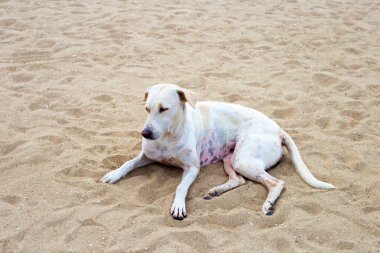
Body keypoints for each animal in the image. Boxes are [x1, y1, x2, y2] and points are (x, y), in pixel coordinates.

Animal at [99, 83, 334, 219]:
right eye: (147, 109)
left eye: (164, 109)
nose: (145, 133)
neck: (168, 136)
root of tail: (278, 129)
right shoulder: (146, 156)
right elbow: (128, 163)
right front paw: (113, 174)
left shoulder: (192, 168)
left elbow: (180, 187)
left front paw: (178, 206)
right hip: (230, 159)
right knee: (239, 180)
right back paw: (215, 191)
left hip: (243, 159)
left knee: (277, 183)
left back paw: (267, 205)